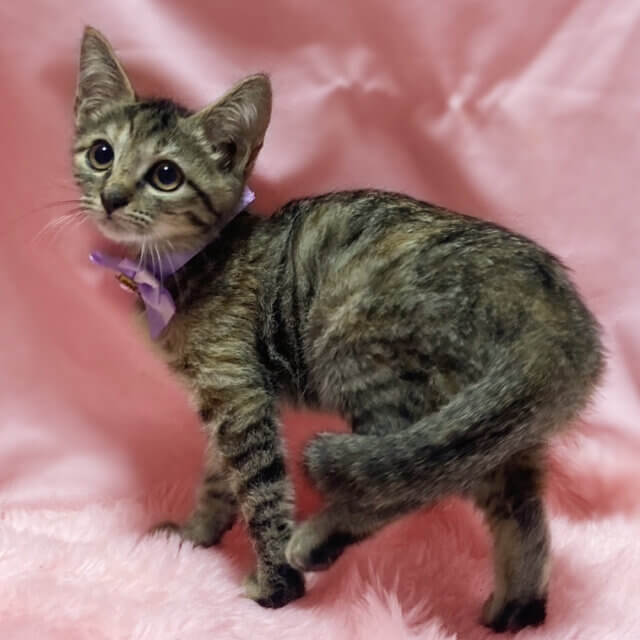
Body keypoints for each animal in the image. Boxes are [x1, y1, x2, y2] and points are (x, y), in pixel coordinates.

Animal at [73, 27, 604, 632]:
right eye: (101, 153)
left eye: (166, 175)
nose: (112, 196)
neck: (189, 266)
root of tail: (556, 307)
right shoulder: (228, 399)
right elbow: (217, 477)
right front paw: (195, 535)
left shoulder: (239, 396)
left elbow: (261, 490)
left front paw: (276, 586)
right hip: (496, 428)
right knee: (519, 510)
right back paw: (517, 608)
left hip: (364, 356)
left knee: (401, 484)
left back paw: (315, 543)